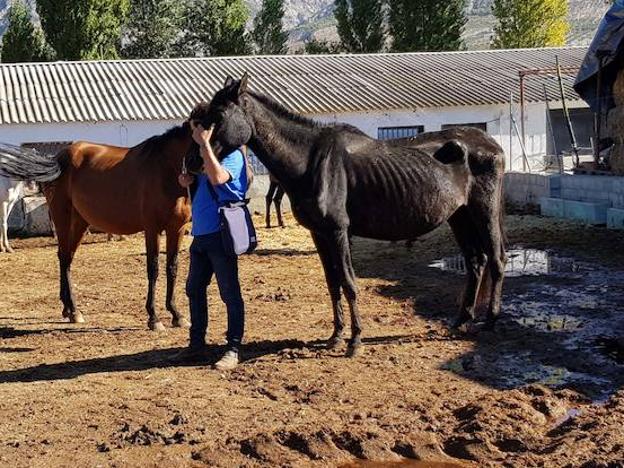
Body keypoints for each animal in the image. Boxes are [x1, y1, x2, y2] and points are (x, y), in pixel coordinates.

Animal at [0, 124, 194, 330]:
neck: (166, 168)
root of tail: (57, 160)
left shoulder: (177, 228)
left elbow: (172, 268)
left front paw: (177, 315)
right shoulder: (152, 229)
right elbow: (153, 268)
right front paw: (154, 318)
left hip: (79, 223)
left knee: (66, 257)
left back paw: (68, 309)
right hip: (62, 217)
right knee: (64, 258)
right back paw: (74, 311)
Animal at [191, 75, 508, 356]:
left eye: (218, 115)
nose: (195, 162)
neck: (309, 161)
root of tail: (490, 143)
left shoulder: (338, 231)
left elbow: (348, 282)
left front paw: (355, 341)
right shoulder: (319, 234)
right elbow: (333, 284)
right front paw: (336, 336)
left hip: (483, 211)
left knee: (496, 259)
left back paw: (490, 321)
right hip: (460, 216)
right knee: (475, 261)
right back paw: (462, 319)